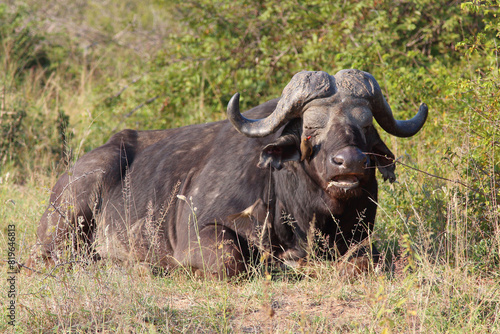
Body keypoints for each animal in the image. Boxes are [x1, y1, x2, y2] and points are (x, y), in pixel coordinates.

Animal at [31, 69, 428, 278]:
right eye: (312, 128)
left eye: (365, 126)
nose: (350, 162)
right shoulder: (200, 234)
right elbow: (230, 259)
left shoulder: (361, 240)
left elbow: (362, 261)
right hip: (69, 219)